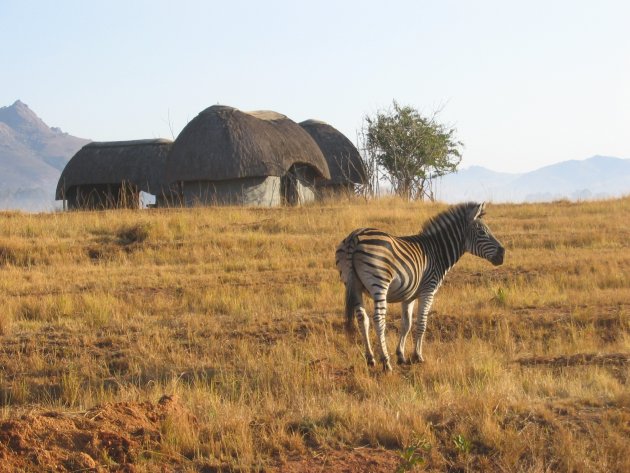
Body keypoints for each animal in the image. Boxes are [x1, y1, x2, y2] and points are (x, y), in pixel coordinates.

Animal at [338, 201, 506, 370]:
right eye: (482, 232)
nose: (503, 254)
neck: (437, 252)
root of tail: (354, 236)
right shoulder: (428, 290)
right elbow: (422, 322)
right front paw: (417, 356)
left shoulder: (409, 295)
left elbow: (406, 324)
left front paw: (401, 356)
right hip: (379, 283)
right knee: (378, 319)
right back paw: (386, 362)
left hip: (353, 286)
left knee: (362, 319)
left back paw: (370, 359)